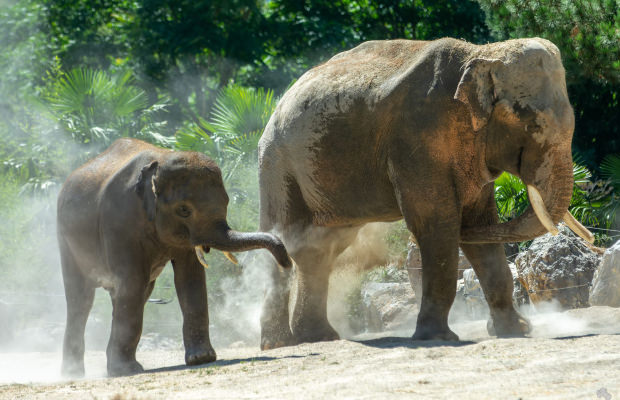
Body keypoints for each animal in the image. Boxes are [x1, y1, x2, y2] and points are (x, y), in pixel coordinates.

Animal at [57, 139, 290, 376]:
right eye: (184, 210)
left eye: (227, 202)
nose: (287, 264)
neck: (159, 162)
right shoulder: (119, 221)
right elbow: (132, 281)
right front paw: (126, 371)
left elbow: (190, 279)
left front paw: (202, 359)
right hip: (65, 240)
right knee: (82, 299)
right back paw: (74, 373)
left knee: (134, 293)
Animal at [258, 38, 596, 350]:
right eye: (532, 124)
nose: (593, 239)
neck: (480, 53)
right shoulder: (416, 136)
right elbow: (436, 224)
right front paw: (438, 338)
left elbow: (481, 223)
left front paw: (517, 331)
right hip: (277, 163)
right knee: (284, 239)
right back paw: (280, 344)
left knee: (320, 248)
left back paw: (317, 338)